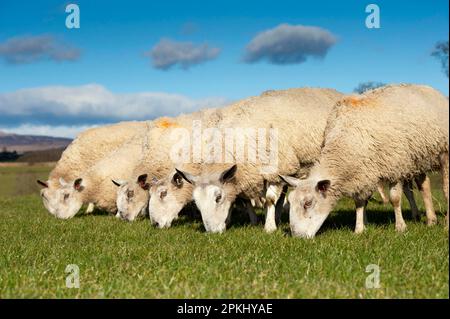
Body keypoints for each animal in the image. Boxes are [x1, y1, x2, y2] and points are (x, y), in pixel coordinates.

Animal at [175, 89, 344, 234]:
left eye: (218, 198)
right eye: (197, 203)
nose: (213, 232)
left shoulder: (274, 169)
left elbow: (269, 199)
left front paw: (269, 227)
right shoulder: (248, 174)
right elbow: (243, 199)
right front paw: (248, 221)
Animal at [280, 84, 448, 239]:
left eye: (308, 203)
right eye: (290, 202)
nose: (298, 237)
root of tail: (429, 88)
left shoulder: (394, 165)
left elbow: (395, 199)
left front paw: (400, 227)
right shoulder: (362, 172)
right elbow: (360, 202)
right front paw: (360, 228)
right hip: (420, 156)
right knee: (424, 185)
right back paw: (430, 220)